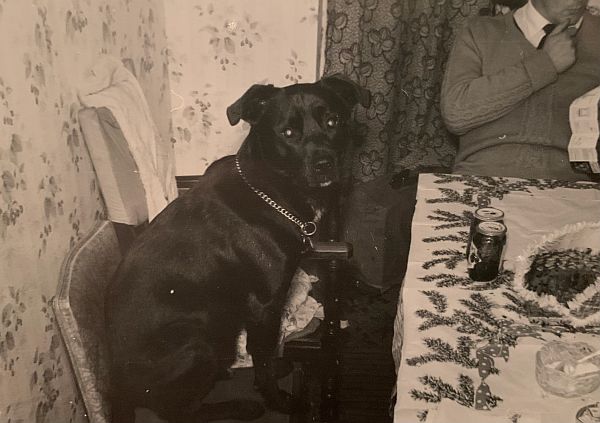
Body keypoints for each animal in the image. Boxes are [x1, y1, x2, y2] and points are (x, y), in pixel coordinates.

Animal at [106, 77, 370, 423]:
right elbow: (263, 359)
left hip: (221, 323)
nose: (325, 165)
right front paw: (279, 402)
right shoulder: (265, 307)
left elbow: (266, 356)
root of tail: (118, 387)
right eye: (288, 133)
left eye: (333, 121)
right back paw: (240, 406)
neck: (269, 192)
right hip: (195, 341)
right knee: (180, 411)